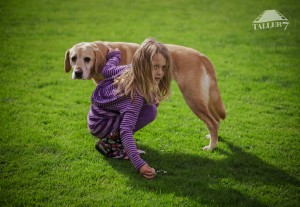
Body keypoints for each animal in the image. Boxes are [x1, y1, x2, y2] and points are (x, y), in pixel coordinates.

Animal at [64, 40, 226, 150]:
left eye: (87, 59)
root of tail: (201, 55)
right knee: (216, 120)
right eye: (73, 58)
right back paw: (214, 138)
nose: (77, 73)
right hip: (204, 99)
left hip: (193, 98)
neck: (105, 54)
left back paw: (211, 146)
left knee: (212, 122)